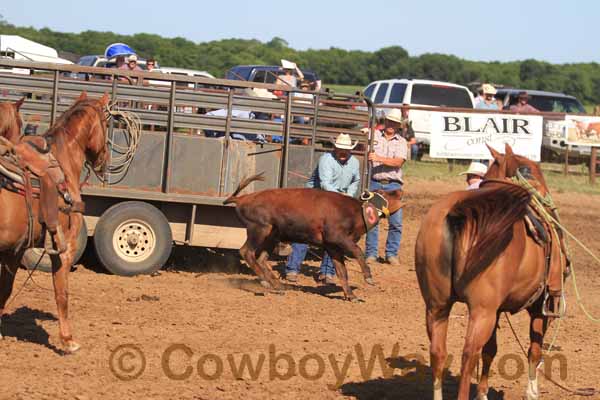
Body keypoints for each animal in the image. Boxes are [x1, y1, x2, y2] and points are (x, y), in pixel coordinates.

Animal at [0, 91, 109, 354]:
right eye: (107, 122)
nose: (104, 159)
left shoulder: (14, 250)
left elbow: (4, 289)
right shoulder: (64, 248)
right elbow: (62, 292)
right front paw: (68, 340)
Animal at [224, 172, 404, 300]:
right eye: (385, 193)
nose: (400, 190)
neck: (356, 212)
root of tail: (242, 198)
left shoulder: (333, 247)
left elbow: (342, 272)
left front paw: (351, 295)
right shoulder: (337, 237)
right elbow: (359, 252)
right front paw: (368, 277)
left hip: (272, 235)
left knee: (261, 259)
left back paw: (277, 285)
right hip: (260, 229)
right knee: (246, 252)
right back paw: (268, 282)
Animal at [414, 145, 564, 400]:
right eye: (531, 171)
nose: (550, 205)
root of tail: (458, 212)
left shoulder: (497, 309)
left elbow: (490, 351)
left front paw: (483, 394)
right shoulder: (539, 307)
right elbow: (533, 351)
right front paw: (532, 392)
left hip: (436, 306)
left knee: (438, 352)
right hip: (481, 311)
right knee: (468, 355)